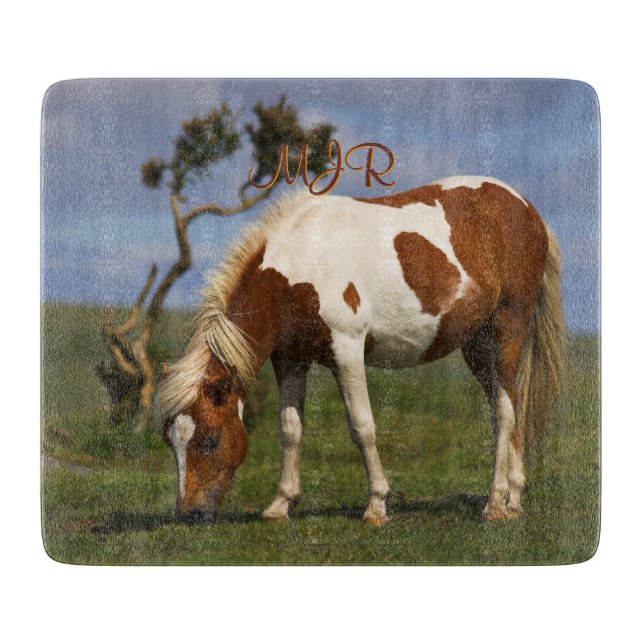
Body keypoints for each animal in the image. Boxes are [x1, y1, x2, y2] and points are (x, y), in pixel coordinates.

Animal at [155, 176, 564, 525]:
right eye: (170, 442)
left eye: (209, 440)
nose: (188, 514)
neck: (301, 263)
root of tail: (526, 208)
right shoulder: (290, 359)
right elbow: (290, 428)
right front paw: (281, 504)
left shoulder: (347, 351)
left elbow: (362, 427)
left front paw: (377, 506)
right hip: (477, 345)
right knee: (506, 404)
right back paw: (514, 499)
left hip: (508, 328)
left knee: (505, 414)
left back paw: (495, 503)